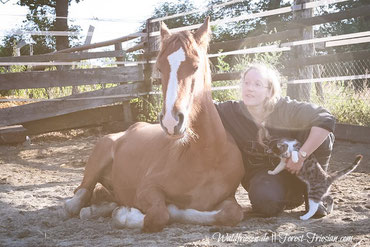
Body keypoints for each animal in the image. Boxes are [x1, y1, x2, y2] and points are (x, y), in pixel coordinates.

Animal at [61, 17, 244, 232]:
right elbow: (159, 214)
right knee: (77, 198)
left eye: (196, 67)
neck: (207, 155)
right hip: (96, 162)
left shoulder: (229, 197)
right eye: (159, 68)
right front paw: (126, 214)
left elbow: (232, 213)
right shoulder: (147, 188)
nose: (171, 121)